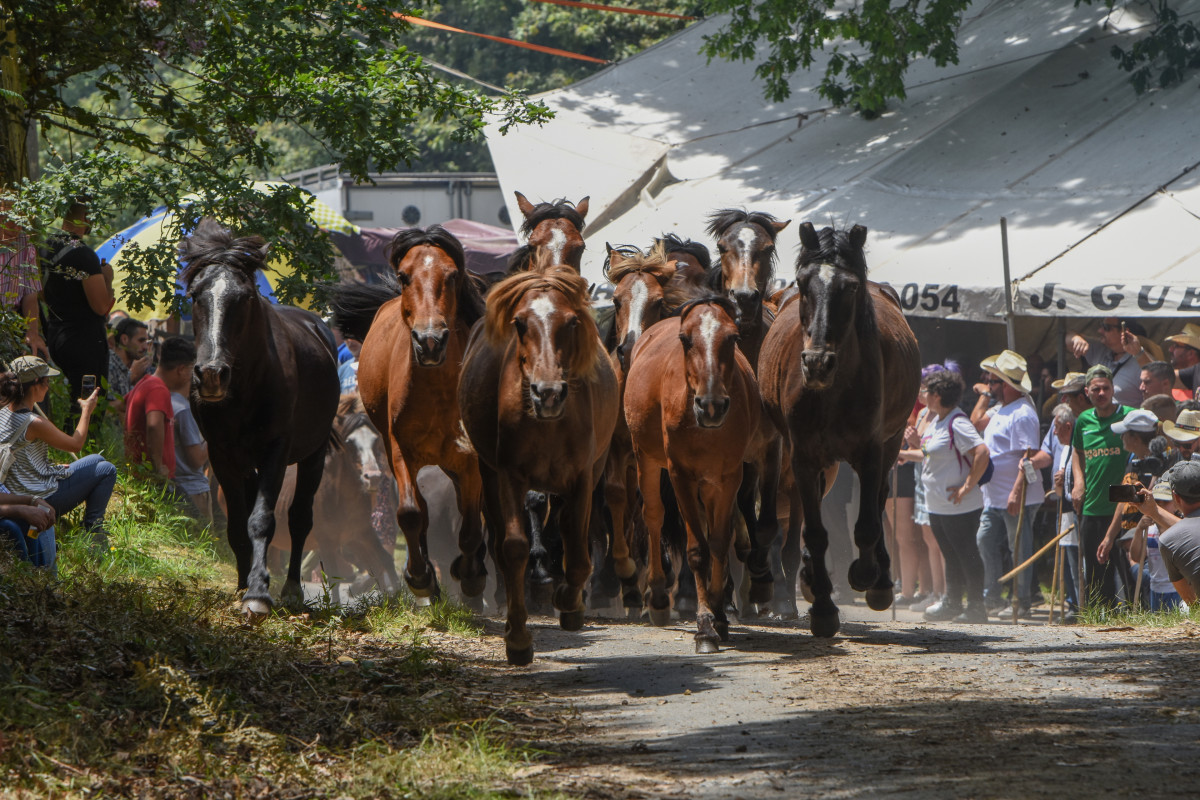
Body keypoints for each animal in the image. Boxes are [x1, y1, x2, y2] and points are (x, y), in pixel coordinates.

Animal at [183, 215, 343, 618]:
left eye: (245, 298)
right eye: (195, 295)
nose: (211, 374)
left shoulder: (276, 450)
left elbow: (262, 519)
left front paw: (258, 593)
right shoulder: (221, 454)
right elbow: (238, 523)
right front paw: (244, 584)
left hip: (313, 453)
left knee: (300, 518)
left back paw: (291, 588)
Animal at [328, 226, 487, 606]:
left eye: (453, 274)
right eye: (403, 276)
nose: (430, 341)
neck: (436, 392)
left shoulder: (468, 456)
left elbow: (471, 521)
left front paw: (471, 575)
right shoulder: (399, 450)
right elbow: (412, 514)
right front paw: (420, 578)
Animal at [458, 261, 619, 662]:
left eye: (572, 321)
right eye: (519, 323)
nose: (547, 393)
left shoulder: (582, 477)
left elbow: (577, 547)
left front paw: (570, 602)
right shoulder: (508, 476)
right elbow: (513, 547)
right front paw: (517, 637)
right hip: (490, 475)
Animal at [624, 297, 763, 652]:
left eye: (733, 338)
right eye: (685, 340)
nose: (711, 405)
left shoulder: (727, 477)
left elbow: (718, 543)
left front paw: (719, 612)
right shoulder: (681, 475)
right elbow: (698, 549)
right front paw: (704, 627)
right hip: (646, 457)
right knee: (654, 515)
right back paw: (658, 598)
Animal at [758, 225, 916, 638]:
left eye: (850, 287)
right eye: (803, 283)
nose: (817, 362)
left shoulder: (872, 452)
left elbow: (868, 524)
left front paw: (868, 576)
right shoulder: (804, 457)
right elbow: (813, 531)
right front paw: (824, 608)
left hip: (892, 441)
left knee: (879, 499)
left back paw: (877, 578)